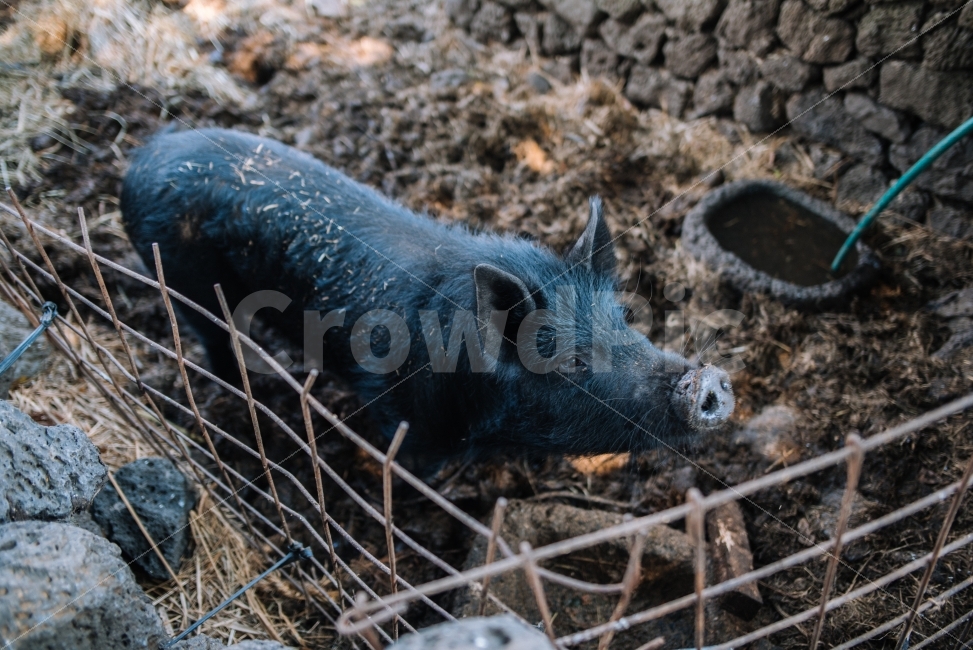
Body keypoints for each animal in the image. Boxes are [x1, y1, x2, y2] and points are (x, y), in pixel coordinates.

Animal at [121, 127, 733, 460]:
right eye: (572, 362)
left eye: (626, 321)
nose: (706, 380)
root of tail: (144, 155)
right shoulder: (399, 418)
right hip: (181, 278)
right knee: (214, 340)